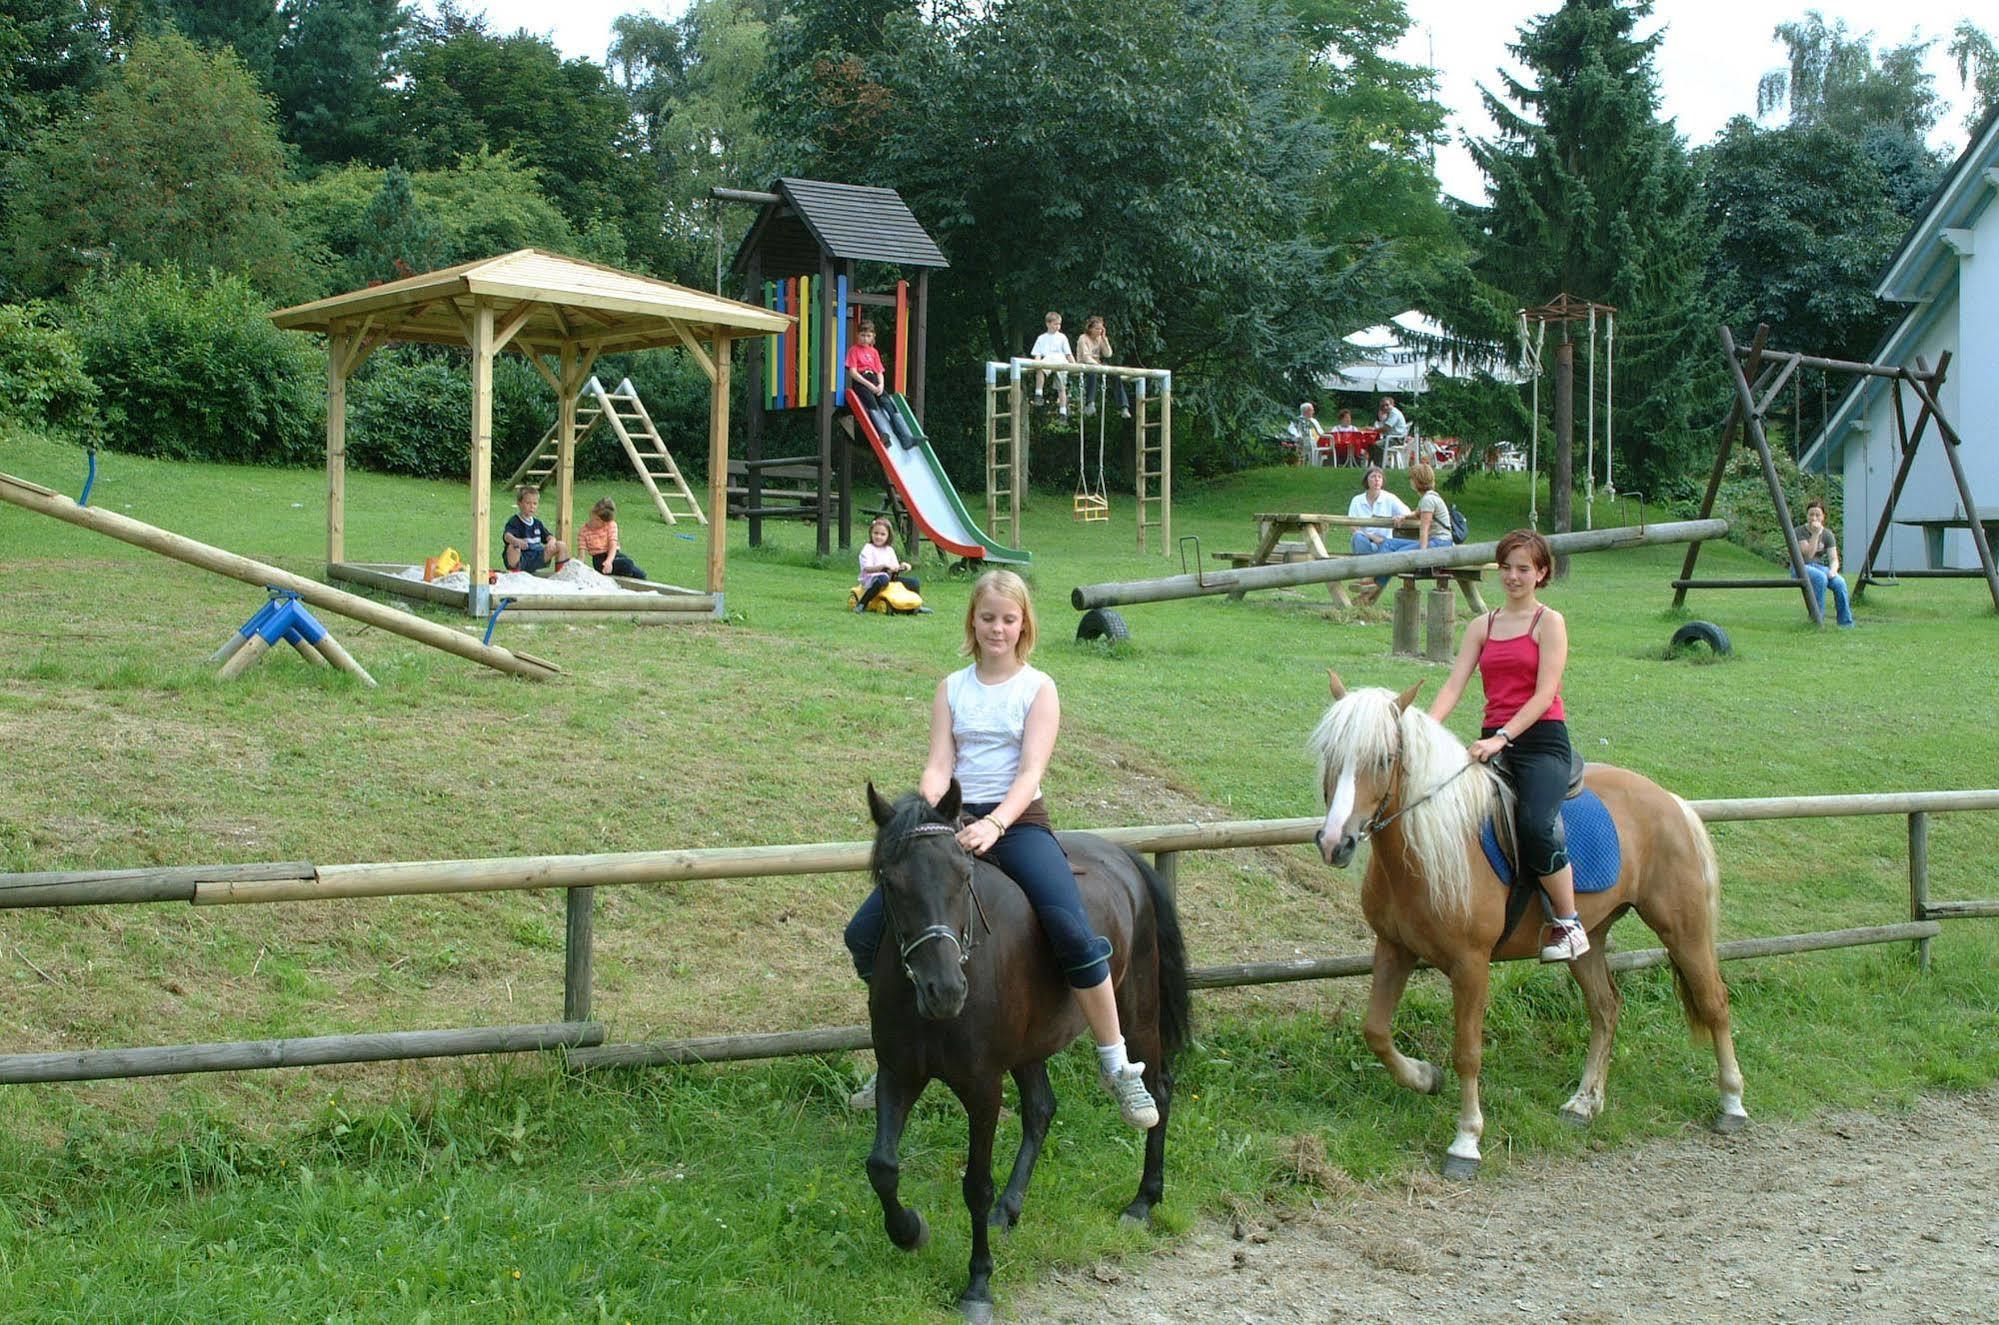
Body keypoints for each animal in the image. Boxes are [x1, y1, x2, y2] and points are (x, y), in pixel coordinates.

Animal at [859, 783, 1183, 1319]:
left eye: (963, 875)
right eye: (891, 880)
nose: (944, 991)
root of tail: (1125, 858)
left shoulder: (982, 1087)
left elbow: (975, 1185)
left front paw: (977, 1285)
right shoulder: (898, 1070)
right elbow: (882, 1166)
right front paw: (909, 1231)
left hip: (1137, 1011)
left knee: (1158, 1089)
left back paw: (1143, 1200)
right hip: (1033, 1043)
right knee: (1041, 1109)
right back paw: (1010, 1211)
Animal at [1303, 675, 1743, 1183]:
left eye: (1384, 758)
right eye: (1330, 754)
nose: (1335, 842)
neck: (1432, 849)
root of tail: (1673, 802)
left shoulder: (1471, 965)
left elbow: (1467, 1051)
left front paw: (1466, 1141)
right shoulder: (1393, 948)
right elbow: (1375, 1031)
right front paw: (1425, 1077)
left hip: (1682, 929)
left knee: (1714, 1003)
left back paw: (1732, 1103)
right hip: (1590, 941)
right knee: (1606, 1008)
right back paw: (1583, 1103)